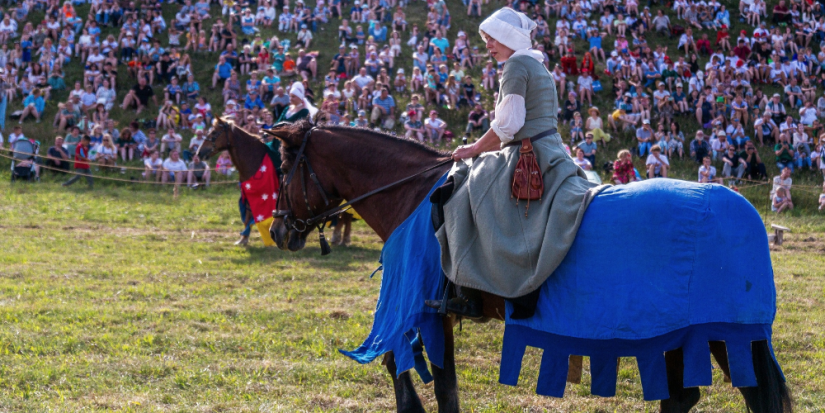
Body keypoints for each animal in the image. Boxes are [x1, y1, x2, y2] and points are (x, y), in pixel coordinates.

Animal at [203, 119, 788, 412]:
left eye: (283, 169)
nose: (280, 230)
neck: (415, 193)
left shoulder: (420, 308)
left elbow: (416, 373)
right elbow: (435, 378)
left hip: (714, 330)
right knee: (687, 395)